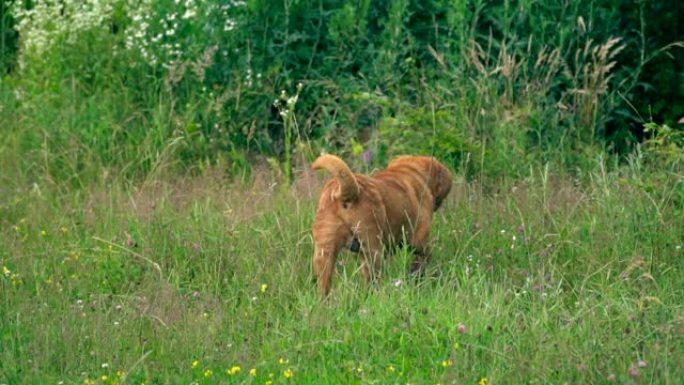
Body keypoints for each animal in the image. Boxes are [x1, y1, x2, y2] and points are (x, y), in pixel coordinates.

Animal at [312, 153, 452, 294]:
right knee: (372, 280)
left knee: (324, 285)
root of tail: (344, 193)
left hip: (325, 253)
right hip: (372, 251)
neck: (410, 172)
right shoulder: (420, 243)